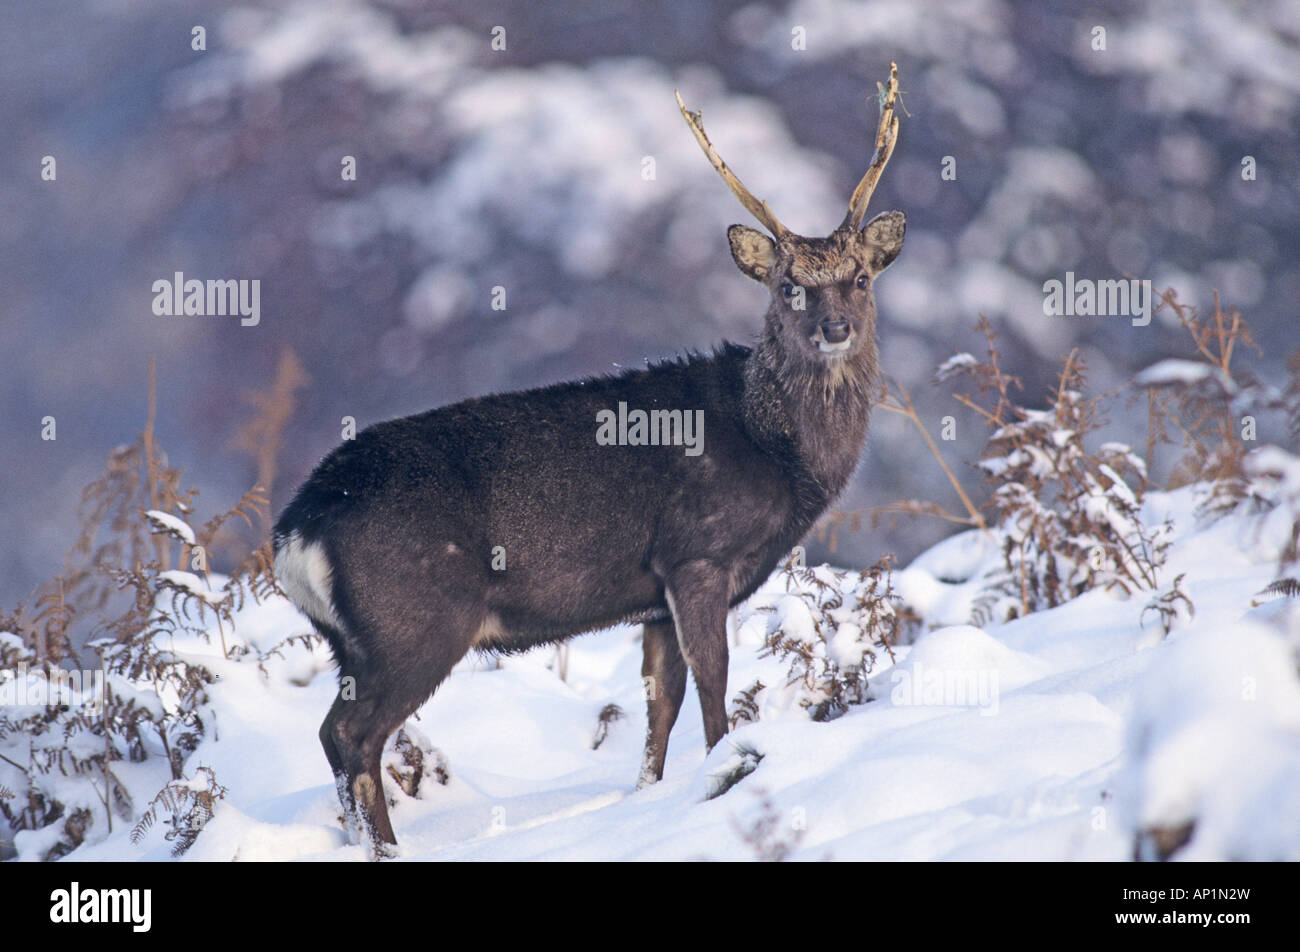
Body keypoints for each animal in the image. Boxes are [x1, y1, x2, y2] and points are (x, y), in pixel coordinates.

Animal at [273, 63, 905, 858]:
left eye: (862, 278)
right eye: (788, 285)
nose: (835, 328)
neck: (775, 450)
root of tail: (295, 532)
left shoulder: (654, 594)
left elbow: (660, 703)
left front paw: (648, 798)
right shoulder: (696, 554)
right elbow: (714, 687)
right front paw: (725, 774)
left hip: (350, 641)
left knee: (337, 734)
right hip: (414, 618)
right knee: (352, 734)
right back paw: (388, 847)